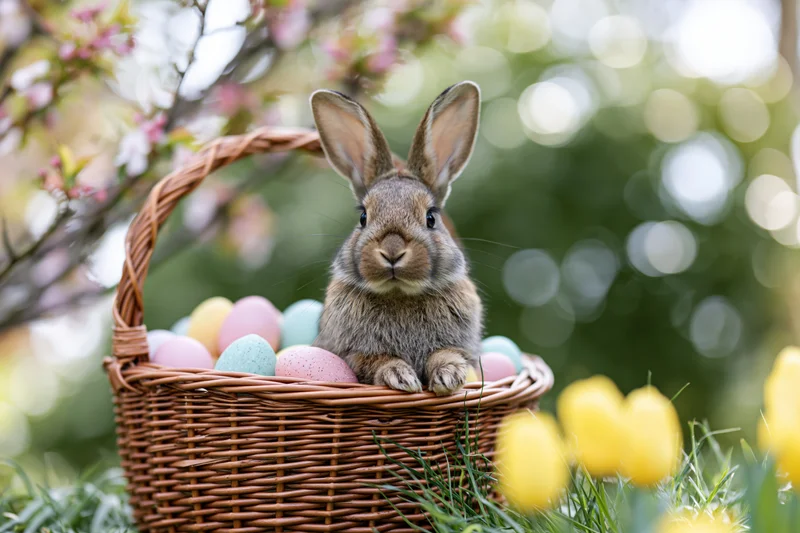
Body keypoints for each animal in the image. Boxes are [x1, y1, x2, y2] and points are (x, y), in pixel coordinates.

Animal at [309, 81, 483, 396]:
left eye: (431, 217)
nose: (392, 251)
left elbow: (447, 353)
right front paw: (400, 378)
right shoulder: (351, 356)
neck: (399, 293)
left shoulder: (465, 348)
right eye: (363, 217)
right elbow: (375, 361)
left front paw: (449, 377)